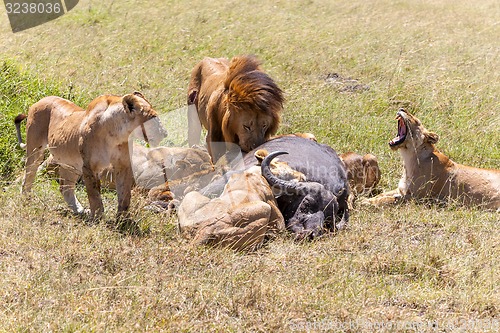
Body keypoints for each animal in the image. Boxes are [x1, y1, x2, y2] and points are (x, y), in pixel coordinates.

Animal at [17, 92, 166, 219]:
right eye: (154, 118)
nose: (165, 133)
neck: (117, 134)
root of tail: (42, 99)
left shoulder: (123, 165)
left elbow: (125, 196)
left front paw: (123, 220)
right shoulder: (89, 166)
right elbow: (94, 195)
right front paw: (97, 218)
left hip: (70, 163)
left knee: (65, 188)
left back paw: (80, 210)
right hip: (35, 149)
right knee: (29, 175)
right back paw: (25, 199)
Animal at [366, 108, 498, 208]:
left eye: (416, 120)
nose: (402, 109)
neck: (408, 158)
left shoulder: (416, 197)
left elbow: (388, 199)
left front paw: (366, 203)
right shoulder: (401, 189)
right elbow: (382, 195)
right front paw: (367, 199)